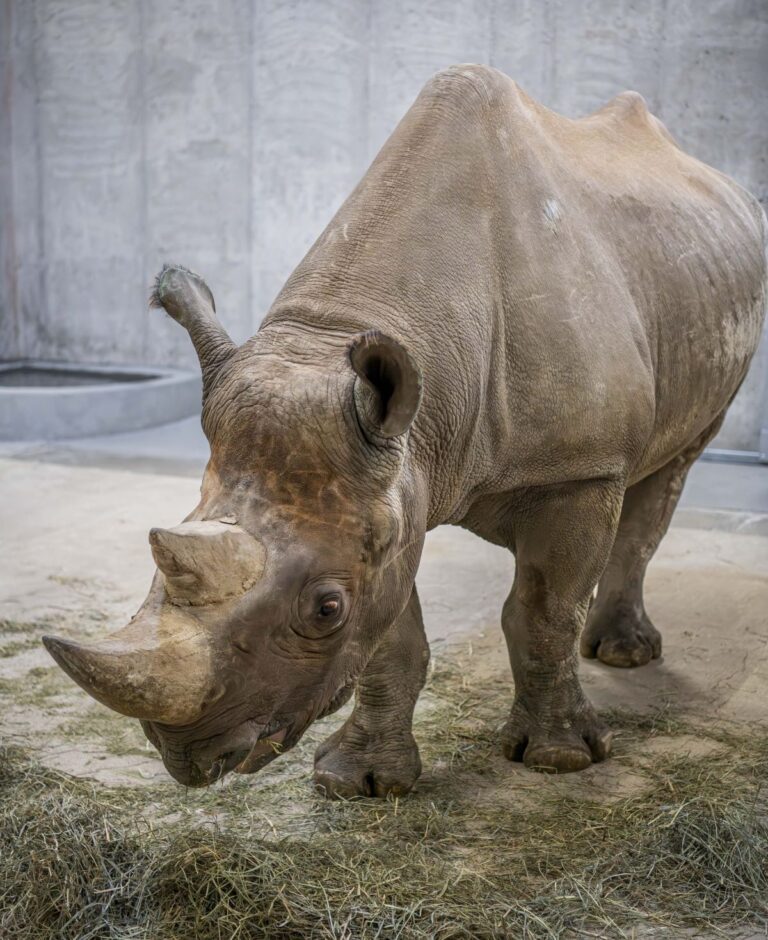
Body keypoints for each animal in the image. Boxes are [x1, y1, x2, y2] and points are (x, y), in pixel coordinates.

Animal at [44, 65, 766, 796]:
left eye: (325, 609)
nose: (187, 756)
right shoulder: (388, 480)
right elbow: (390, 639)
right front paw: (358, 782)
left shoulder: (578, 469)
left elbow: (542, 613)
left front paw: (560, 758)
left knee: (673, 466)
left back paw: (622, 655)